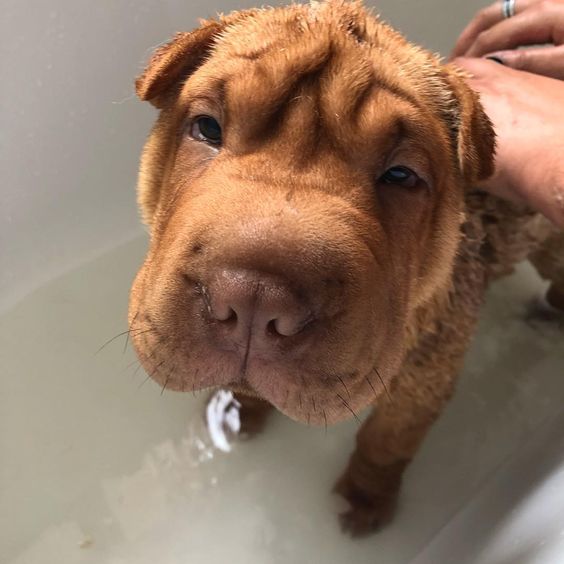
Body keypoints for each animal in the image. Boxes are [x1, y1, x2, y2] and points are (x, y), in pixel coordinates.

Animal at [129, 0, 564, 536]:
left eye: (401, 175)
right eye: (208, 128)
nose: (254, 295)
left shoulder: (424, 379)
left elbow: (385, 442)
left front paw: (365, 498)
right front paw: (234, 409)